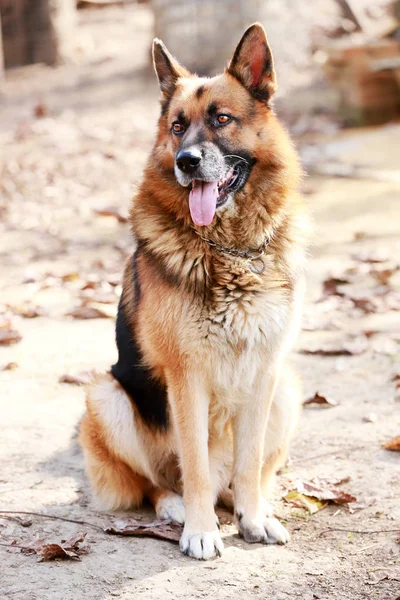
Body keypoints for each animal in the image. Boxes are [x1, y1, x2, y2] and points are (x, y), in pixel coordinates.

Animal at [78, 22, 310, 556]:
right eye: (178, 126)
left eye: (222, 119)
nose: (186, 162)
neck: (231, 252)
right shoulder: (187, 378)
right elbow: (195, 467)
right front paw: (202, 532)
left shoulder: (264, 371)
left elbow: (249, 460)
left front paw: (253, 518)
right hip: (107, 396)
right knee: (157, 482)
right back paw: (176, 507)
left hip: (288, 387)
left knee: (242, 475)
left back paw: (251, 504)